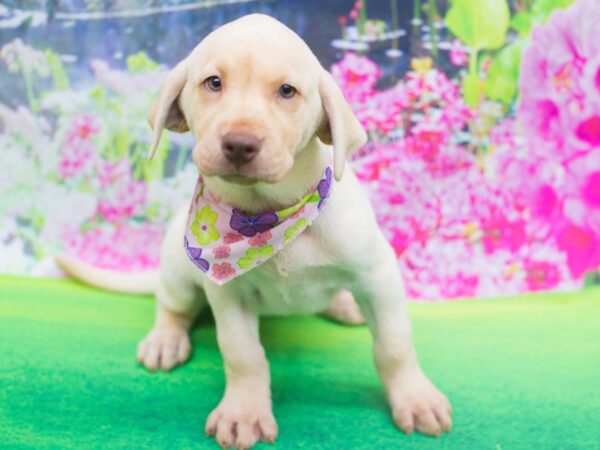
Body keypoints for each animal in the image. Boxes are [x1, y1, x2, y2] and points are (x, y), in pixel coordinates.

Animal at [57, 14, 450, 450]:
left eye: (287, 91)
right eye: (213, 83)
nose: (239, 144)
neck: (267, 217)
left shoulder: (378, 274)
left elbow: (394, 345)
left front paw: (414, 397)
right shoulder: (228, 294)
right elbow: (242, 353)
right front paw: (244, 412)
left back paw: (345, 305)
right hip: (178, 272)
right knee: (171, 306)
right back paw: (165, 339)